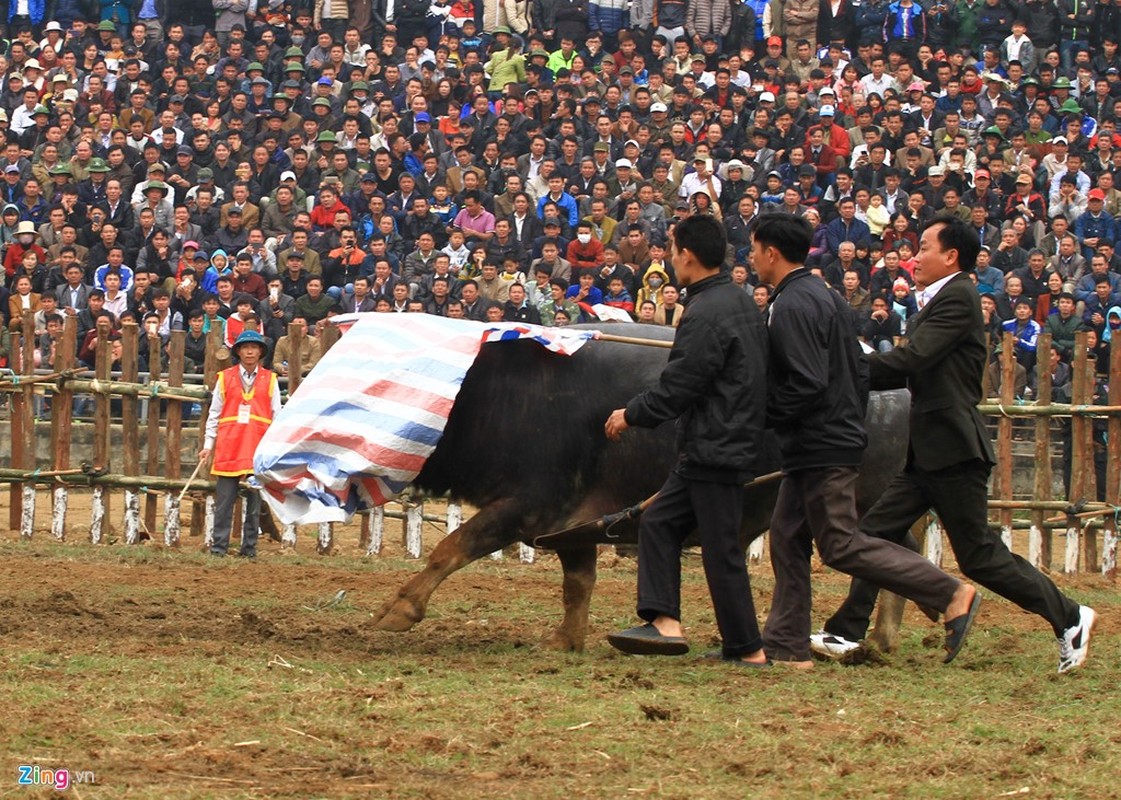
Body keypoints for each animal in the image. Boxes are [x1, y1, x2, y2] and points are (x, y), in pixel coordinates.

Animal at [369, 324, 910, 649]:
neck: (505, 395)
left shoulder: (527, 506)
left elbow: (452, 547)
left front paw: (399, 608)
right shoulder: (569, 525)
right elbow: (578, 584)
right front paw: (566, 640)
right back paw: (881, 638)